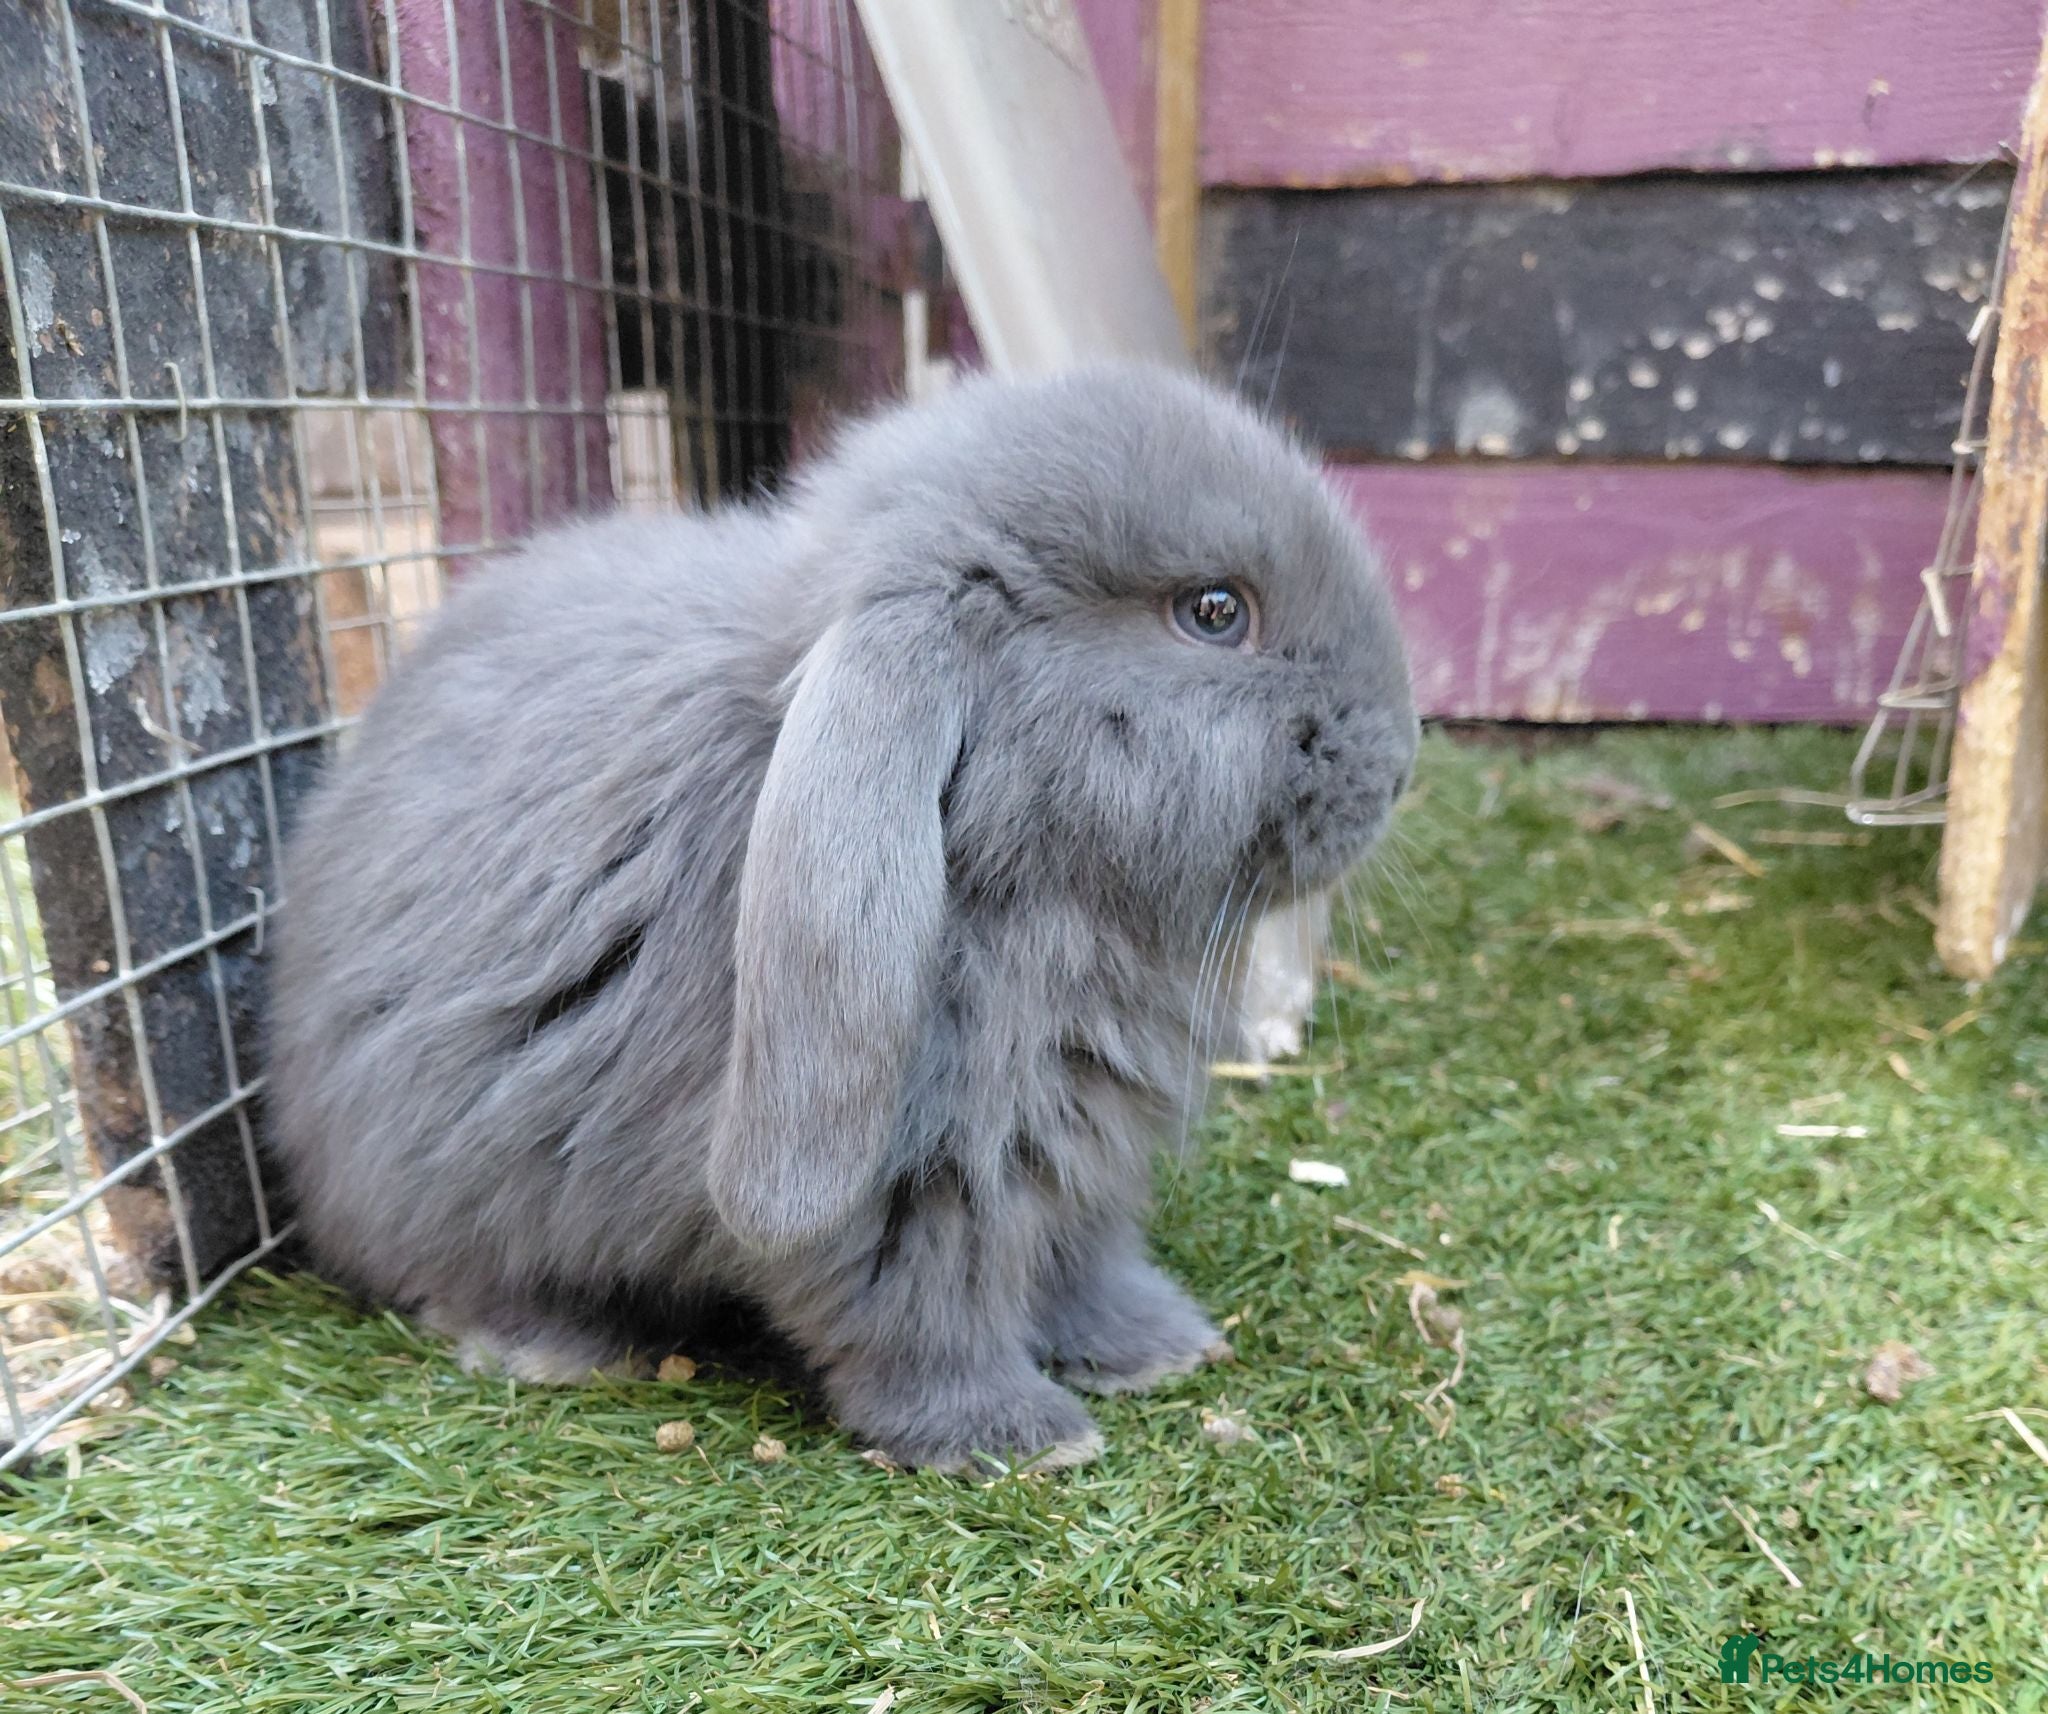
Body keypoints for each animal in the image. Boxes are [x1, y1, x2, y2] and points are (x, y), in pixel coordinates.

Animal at [266, 363, 1417, 1472]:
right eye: (1215, 612)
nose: (1402, 764)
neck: (1024, 884)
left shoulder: (1080, 1162)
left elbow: (1081, 1265)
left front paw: (1155, 1349)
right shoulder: (905, 1187)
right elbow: (916, 1312)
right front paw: (1013, 1438)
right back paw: (556, 1345)